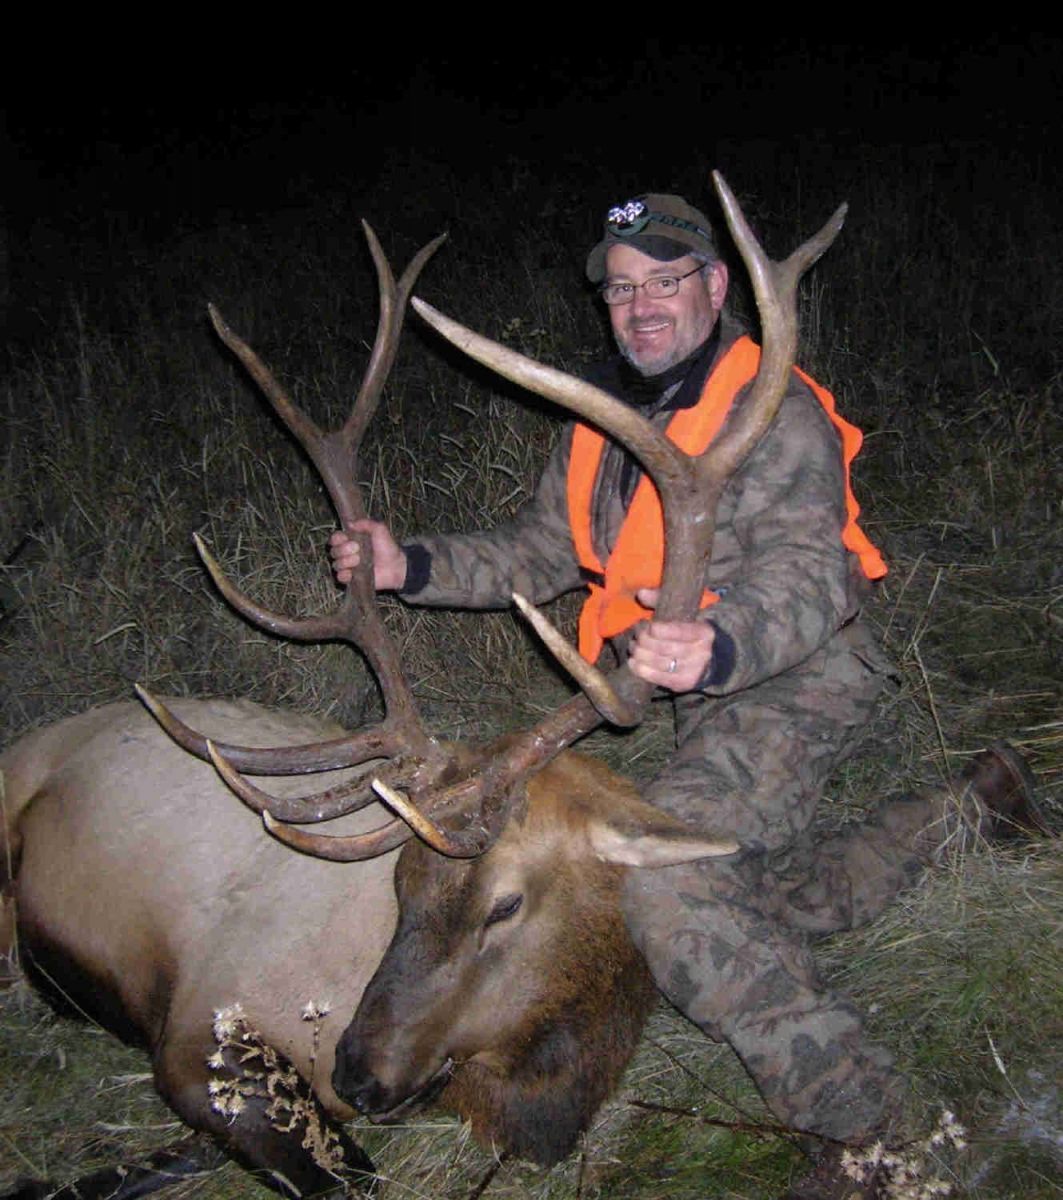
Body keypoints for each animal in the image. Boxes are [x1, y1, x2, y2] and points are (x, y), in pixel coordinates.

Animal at [0, 173, 845, 1200]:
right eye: (399, 886)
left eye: (506, 904)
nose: (359, 1072)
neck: (524, 1083)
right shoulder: (199, 1026)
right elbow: (340, 1172)